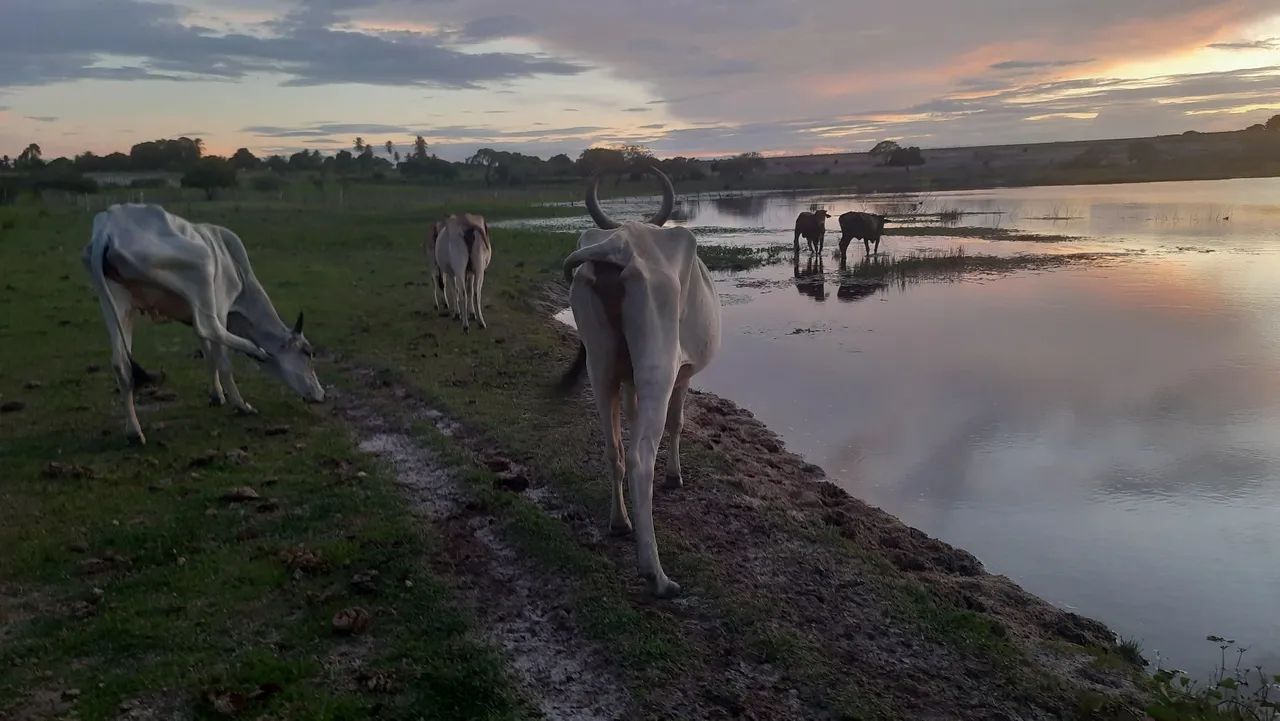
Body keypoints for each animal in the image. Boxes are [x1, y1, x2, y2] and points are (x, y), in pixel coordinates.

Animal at [83, 204, 323, 445]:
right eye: (307, 352)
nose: (321, 394)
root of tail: (108, 228)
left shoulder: (194, 311)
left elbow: (209, 355)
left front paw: (217, 395)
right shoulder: (219, 305)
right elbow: (221, 358)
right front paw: (239, 402)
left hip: (117, 304)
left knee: (121, 364)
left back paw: (134, 432)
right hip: (203, 266)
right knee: (210, 327)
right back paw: (255, 355)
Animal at [557, 166, 721, 598]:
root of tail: (618, 246)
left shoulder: (626, 379)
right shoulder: (681, 374)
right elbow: (678, 424)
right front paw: (675, 477)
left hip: (599, 367)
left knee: (614, 448)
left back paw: (619, 522)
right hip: (656, 368)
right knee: (639, 456)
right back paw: (656, 574)